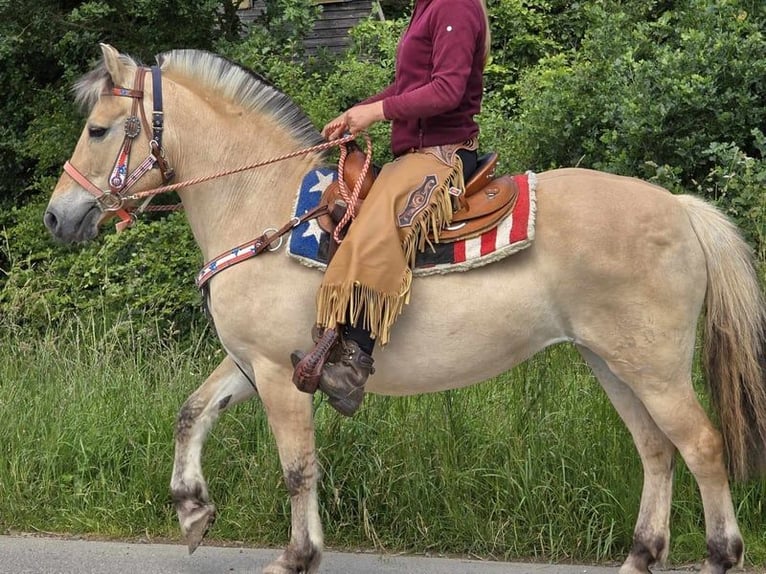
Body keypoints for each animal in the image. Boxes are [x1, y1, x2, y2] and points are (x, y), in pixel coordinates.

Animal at [43, 45, 766, 574]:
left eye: (98, 129)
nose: (57, 216)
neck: (260, 203)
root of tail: (681, 208)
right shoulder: (252, 363)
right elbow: (193, 413)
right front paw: (193, 512)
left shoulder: (278, 373)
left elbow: (297, 467)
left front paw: (297, 556)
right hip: (610, 361)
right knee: (656, 448)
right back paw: (641, 557)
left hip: (652, 365)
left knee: (701, 445)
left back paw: (720, 555)